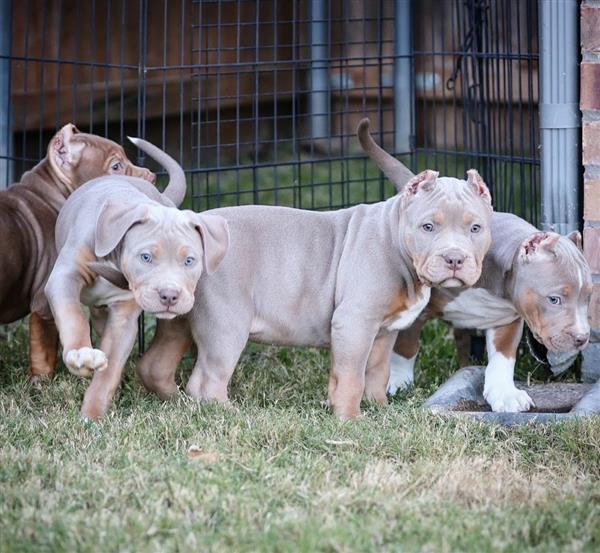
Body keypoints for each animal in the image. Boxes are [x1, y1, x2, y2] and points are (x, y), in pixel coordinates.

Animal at [44, 139, 230, 418]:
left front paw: (93, 415)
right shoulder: (65, 275)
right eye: (145, 257)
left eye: (190, 261)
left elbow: (109, 370)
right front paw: (81, 353)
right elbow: (72, 315)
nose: (169, 296)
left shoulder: (124, 317)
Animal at [138, 119, 494, 418]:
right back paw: (232, 414)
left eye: (475, 228)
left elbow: (374, 373)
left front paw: (378, 409)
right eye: (428, 227)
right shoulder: (354, 322)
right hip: (226, 323)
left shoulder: (381, 333)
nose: (454, 259)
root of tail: (186, 225)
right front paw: (350, 420)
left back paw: (176, 403)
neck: (394, 238)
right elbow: (352, 377)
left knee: (156, 365)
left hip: (178, 316)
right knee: (207, 382)